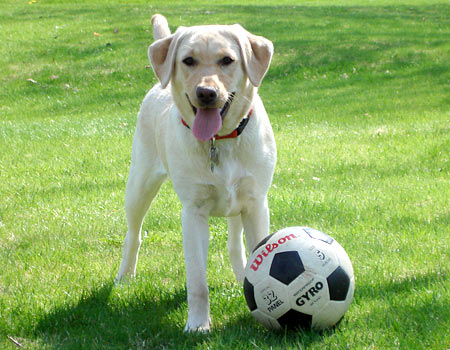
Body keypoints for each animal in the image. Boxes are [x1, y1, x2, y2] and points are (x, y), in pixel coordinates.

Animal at [115, 13, 278, 330]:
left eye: (227, 60)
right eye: (188, 60)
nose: (206, 93)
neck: (219, 141)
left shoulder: (255, 204)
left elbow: (256, 253)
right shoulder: (193, 212)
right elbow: (197, 280)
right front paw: (198, 325)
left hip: (238, 204)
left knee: (235, 245)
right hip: (139, 184)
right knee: (133, 233)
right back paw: (124, 276)